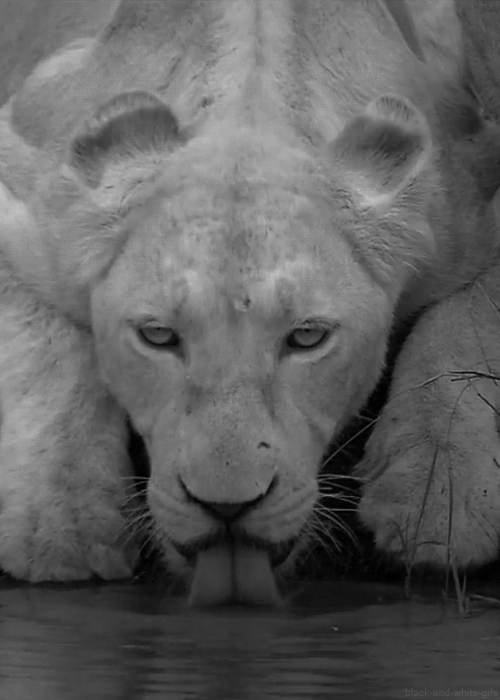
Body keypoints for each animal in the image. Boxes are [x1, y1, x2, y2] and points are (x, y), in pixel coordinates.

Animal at [0, 0, 500, 606]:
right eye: (157, 335)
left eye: (308, 336)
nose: (226, 507)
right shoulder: (19, 171)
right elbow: (45, 352)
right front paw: (61, 530)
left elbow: (468, 320)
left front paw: (439, 500)